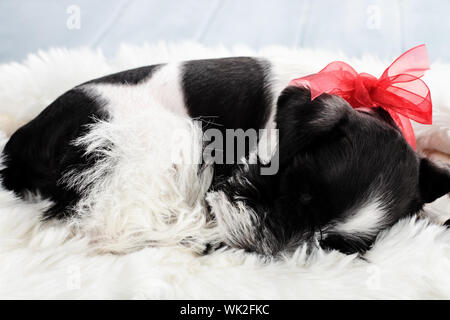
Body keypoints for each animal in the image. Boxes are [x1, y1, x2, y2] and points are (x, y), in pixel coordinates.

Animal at [0, 57, 450, 255]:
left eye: (327, 243)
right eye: (295, 189)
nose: (261, 241)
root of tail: (21, 145)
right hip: (166, 139)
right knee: (111, 226)